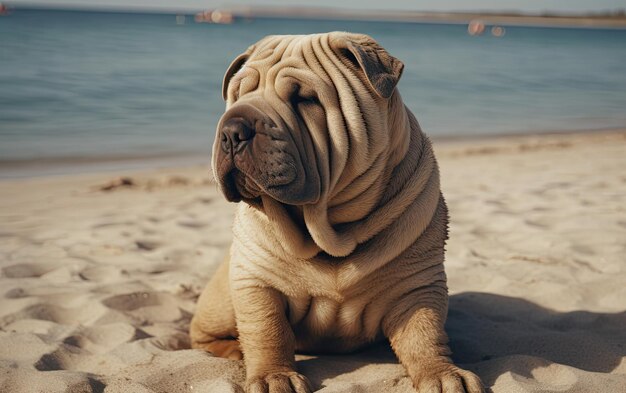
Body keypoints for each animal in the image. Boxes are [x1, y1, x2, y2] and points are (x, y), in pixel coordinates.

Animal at [190, 31, 482, 392]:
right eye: (237, 96)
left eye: (305, 99)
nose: (233, 129)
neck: (327, 229)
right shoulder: (255, 282)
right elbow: (266, 331)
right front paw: (274, 376)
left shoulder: (417, 284)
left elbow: (424, 334)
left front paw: (442, 374)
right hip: (220, 302)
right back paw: (234, 351)